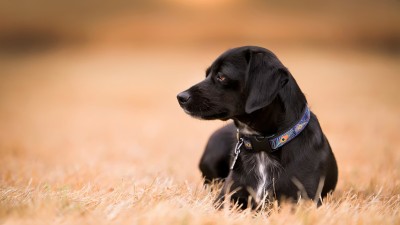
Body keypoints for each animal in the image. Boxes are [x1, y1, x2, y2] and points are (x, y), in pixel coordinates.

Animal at [177, 46, 338, 209]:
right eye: (207, 74)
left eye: (221, 76)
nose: (180, 97)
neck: (263, 145)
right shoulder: (226, 197)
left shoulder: (304, 200)